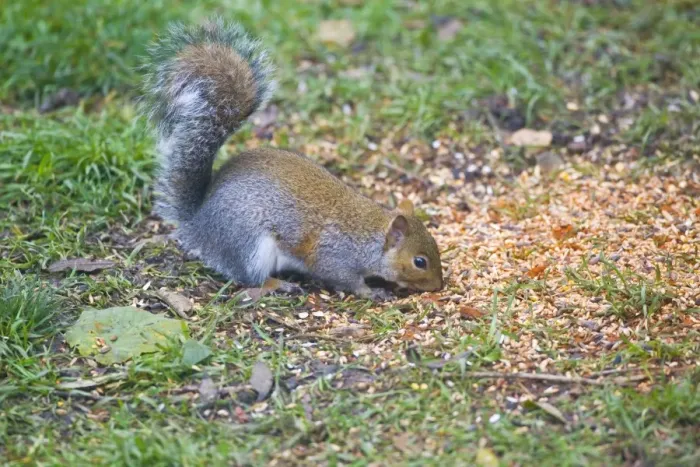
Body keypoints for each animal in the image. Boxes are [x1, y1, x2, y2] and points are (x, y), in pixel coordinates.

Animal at [140, 17, 443, 300]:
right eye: (419, 261)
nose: (439, 286)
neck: (372, 236)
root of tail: (198, 226)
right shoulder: (335, 256)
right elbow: (346, 280)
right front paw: (373, 292)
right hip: (250, 246)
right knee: (250, 278)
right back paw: (279, 284)